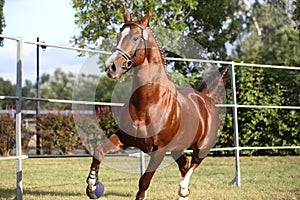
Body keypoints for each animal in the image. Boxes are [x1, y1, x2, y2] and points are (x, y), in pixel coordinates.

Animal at [86, 9, 227, 200]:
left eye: (135, 38)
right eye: (118, 36)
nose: (111, 66)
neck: (148, 103)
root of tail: (206, 98)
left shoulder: (159, 150)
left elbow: (144, 182)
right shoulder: (123, 138)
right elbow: (99, 152)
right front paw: (93, 186)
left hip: (202, 146)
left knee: (194, 163)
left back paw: (183, 188)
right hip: (177, 148)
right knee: (184, 164)